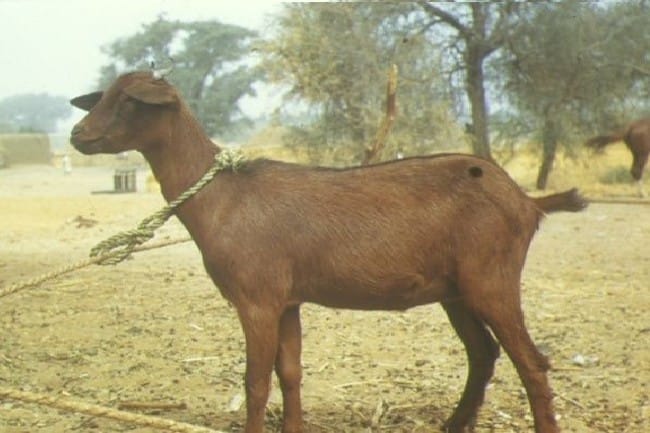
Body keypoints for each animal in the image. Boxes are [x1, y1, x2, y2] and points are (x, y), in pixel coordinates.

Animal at [70, 71, 587, 433]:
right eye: (103, 94)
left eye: (130, 100)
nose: (77, 135)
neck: (223, 197)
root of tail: (527, 201)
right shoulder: (287, 299)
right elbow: (290, 373)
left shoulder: (256, 298)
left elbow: (256, 382)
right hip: (456, 290)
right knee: (483, 353)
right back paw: (453, 424)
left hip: (492, 278)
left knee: (531, 362)